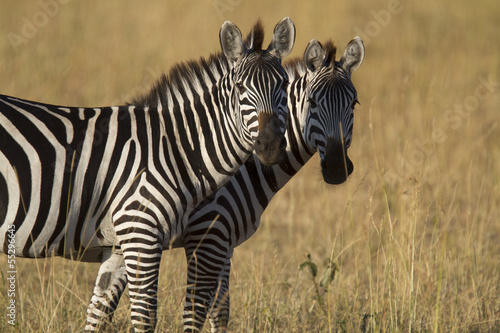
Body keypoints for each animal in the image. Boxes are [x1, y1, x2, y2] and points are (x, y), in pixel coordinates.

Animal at [0, 18, 296, 332]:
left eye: (284, 85)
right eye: (240, 88)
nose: (270, 145)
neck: (174, 148)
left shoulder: (120, 243)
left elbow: (100, 311)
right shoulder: (142, 230)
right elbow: (146, 316)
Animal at [66, 22, 366, 330]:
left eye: (354, 103)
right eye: (312, 103)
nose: (337, 167)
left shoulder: (224, 241)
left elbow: (221, 311)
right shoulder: (208, 232)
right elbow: (194, 310)